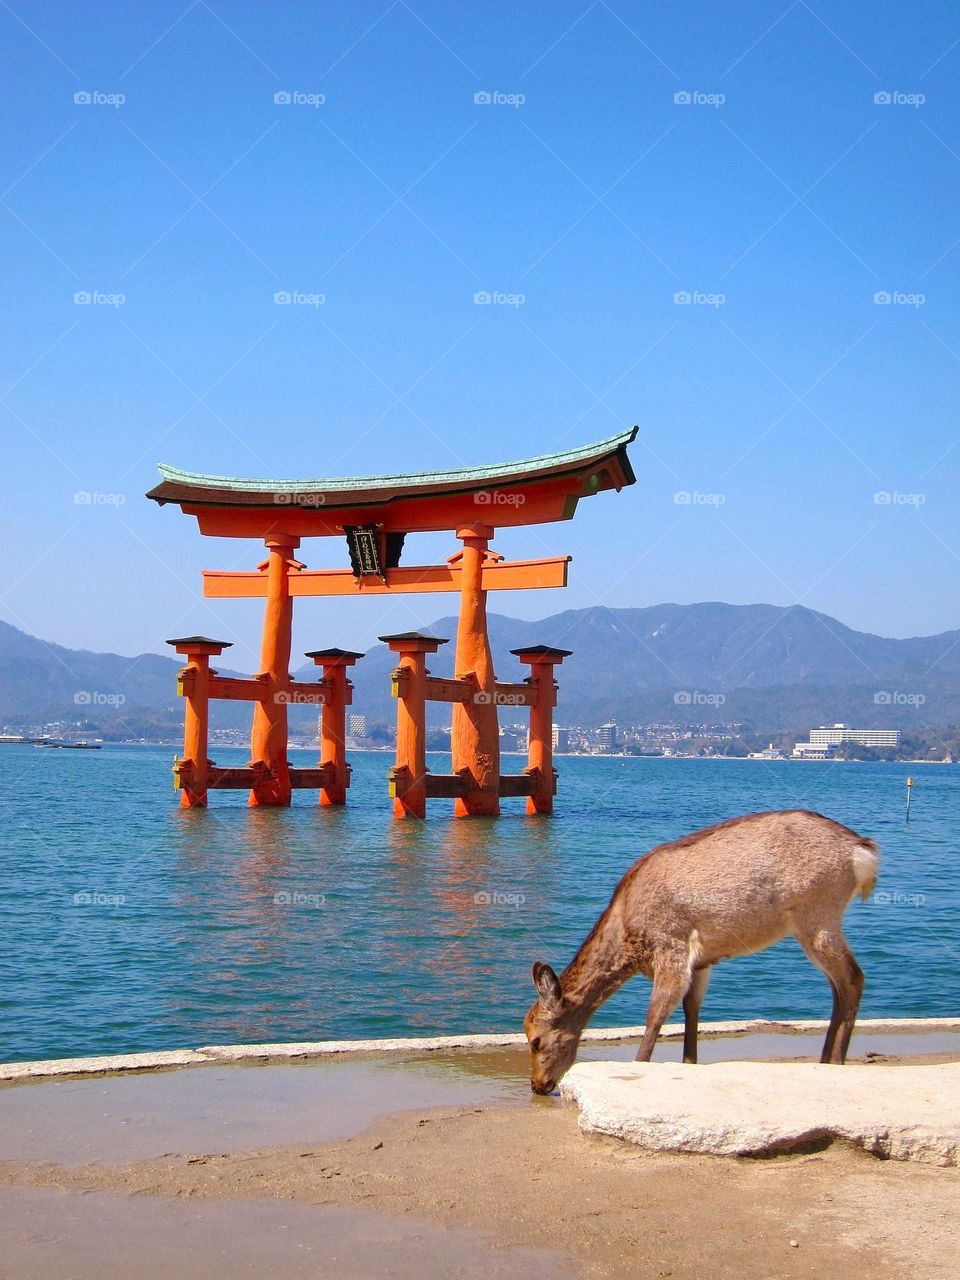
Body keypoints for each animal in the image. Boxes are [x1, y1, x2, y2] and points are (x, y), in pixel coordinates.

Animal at [524, 809, 878, 1094]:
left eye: (536, 1040)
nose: (538, 1086)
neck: (629, 939)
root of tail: (863, 852)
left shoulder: (672, 945)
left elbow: (655, 1013)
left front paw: (640, 1065)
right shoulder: (702, 962)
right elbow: (690, 1010)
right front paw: (689, 1063)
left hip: (817, 914)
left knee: (853, 978)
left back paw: (835, 1061)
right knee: (838, 986)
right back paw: (824, 1060)